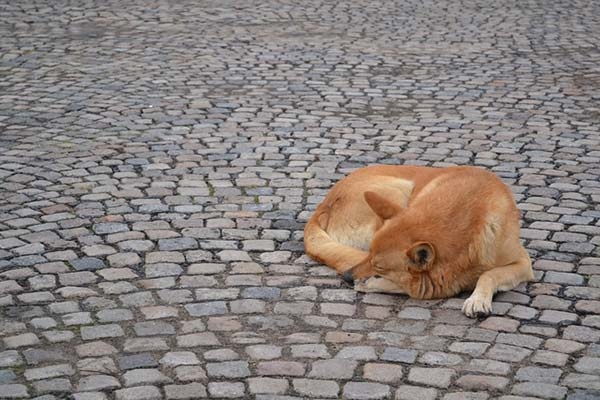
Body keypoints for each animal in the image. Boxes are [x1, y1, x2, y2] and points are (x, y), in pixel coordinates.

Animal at [304, 164, 536, 318]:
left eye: (378, 266)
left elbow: (489, 274)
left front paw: (477, 299)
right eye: (369, 254)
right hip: (398, 191)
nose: (346, 276)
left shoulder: (523, 263)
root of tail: (324, 206)